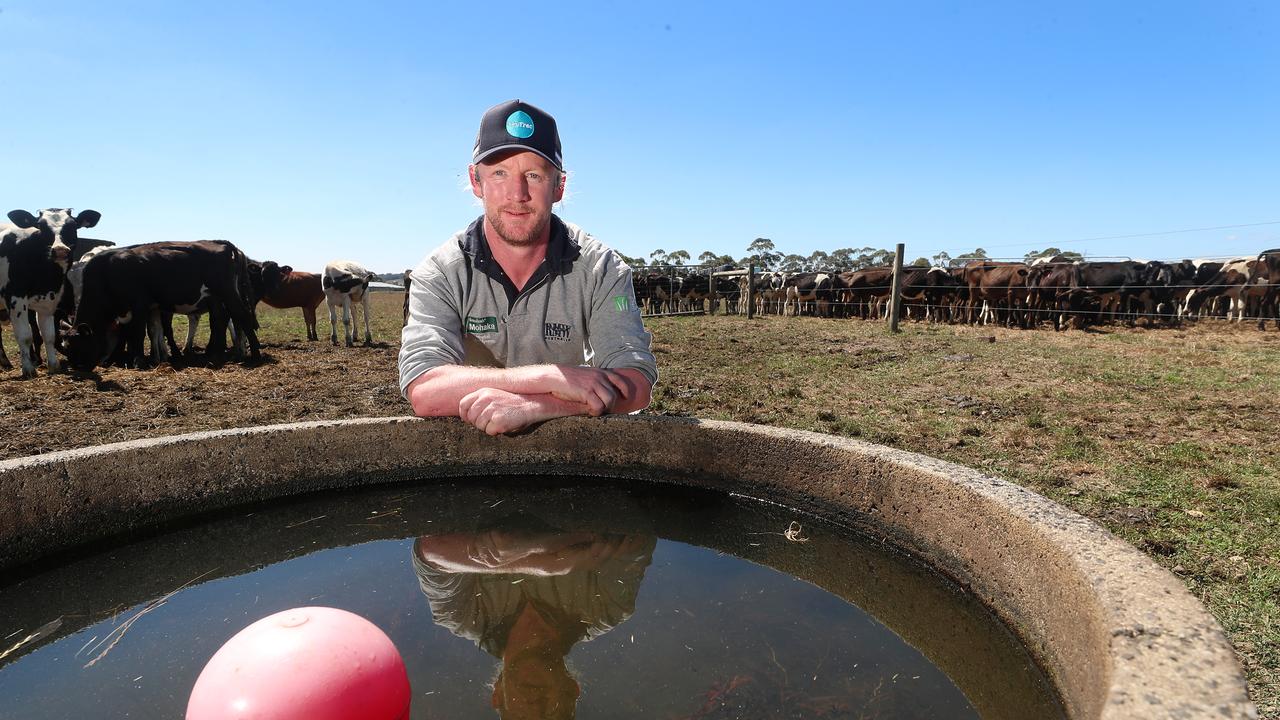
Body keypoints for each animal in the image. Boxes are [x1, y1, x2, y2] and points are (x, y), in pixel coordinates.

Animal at [0, 207, 101, 376]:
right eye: (41, 227)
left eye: (73, 226)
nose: (60, 250)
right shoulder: (15, 297)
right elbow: (25, 336)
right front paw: (28, 368)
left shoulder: (48, 300)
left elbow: (49, 335)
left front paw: (53, 366)